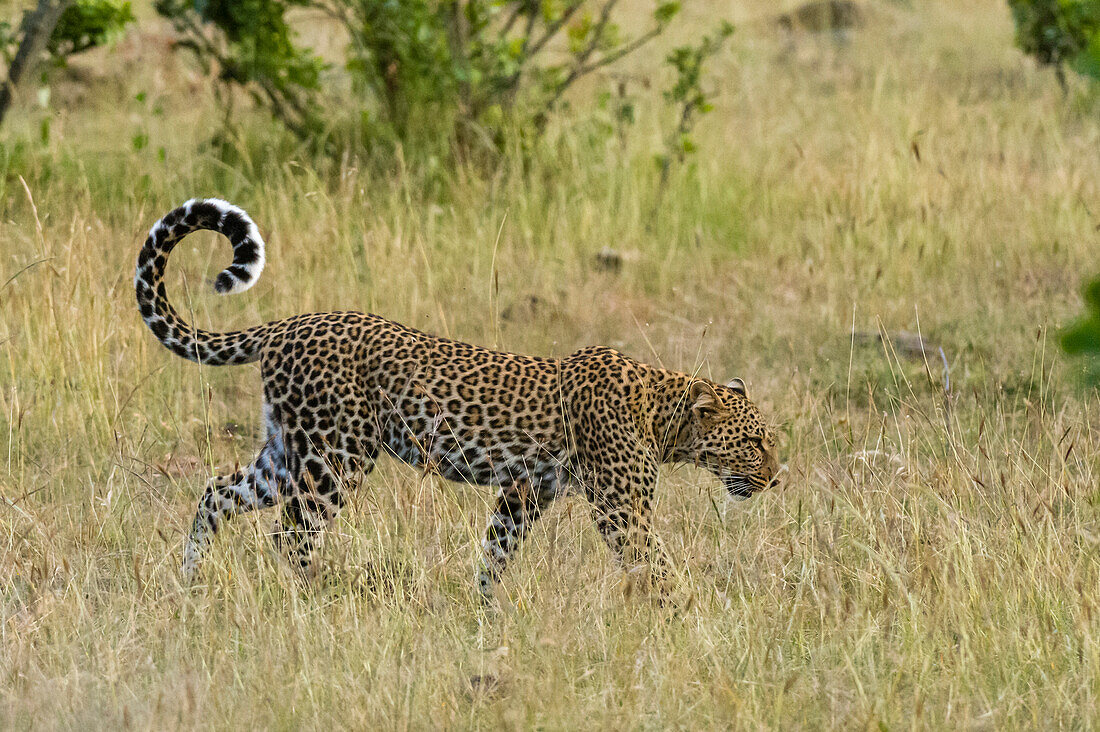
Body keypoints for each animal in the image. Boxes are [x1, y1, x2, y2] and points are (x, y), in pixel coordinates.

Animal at [133, 197, 778, 598]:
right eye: (753, 443)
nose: (777, 479)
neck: (662, 412)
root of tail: (285, 324)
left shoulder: (525, 493)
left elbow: (496, 554)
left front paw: (484, 612)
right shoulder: (622, 507)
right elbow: (656, 566)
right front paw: (683, 618)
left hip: (287, 450)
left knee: (219, 491)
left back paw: (191, 581)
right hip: (334, 455)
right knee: (292, 534)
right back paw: (315, 600)